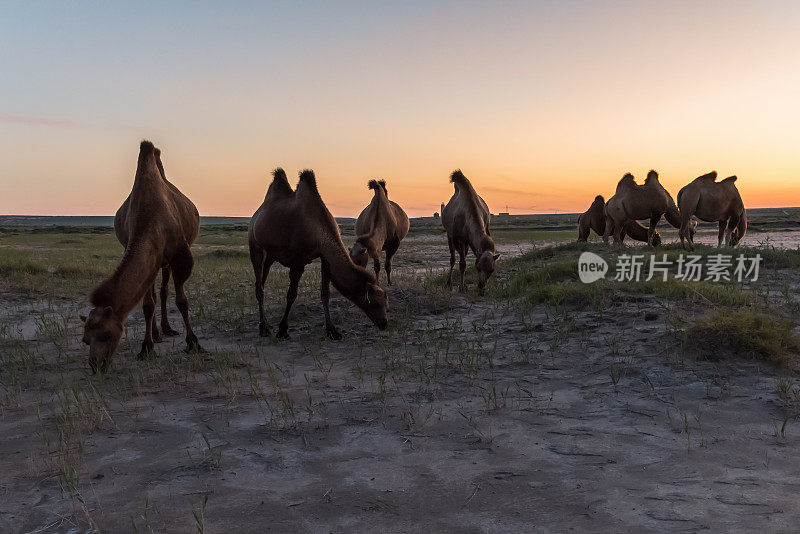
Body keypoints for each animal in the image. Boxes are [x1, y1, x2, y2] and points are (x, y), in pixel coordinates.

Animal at [80, 142, 203, 376]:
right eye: (85, 340)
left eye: (107, 335)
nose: (96, 365)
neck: (150, 217)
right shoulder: (146, 253)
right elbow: (147, 305)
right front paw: (147, 347)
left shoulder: (180, 257)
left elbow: (182, 301)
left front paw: (193, 343)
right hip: (156, 262)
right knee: (154, 294)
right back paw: (156, 333)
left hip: (166, 261)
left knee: (163, 291)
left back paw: (167, 329)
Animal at [248, 170, 390, 342]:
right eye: (375, 303)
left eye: (386, 304)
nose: (384, 323)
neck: (318, 232)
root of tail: (257, 215)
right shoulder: (298, 261)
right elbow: (291, 294)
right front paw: (282, 330)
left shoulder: (324, 258)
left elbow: (325, 293)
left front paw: (332, 331)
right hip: (255, 246)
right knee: (259, 285)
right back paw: (264, 328)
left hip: (270, 254)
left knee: (262, 281)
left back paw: (265, 324)